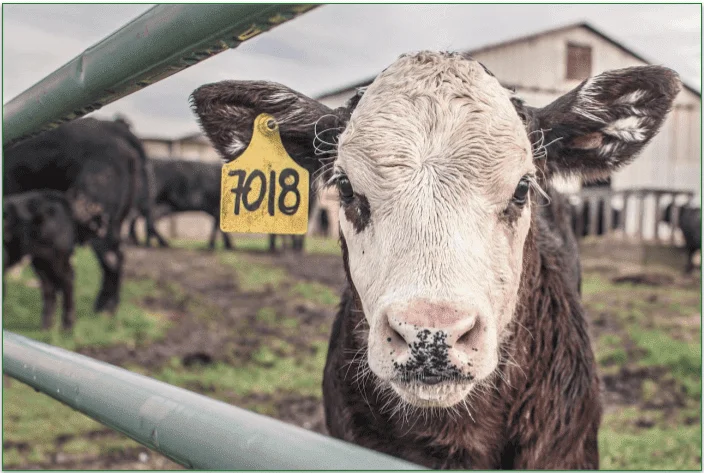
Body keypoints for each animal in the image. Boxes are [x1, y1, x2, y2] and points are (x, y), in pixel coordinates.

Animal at [3, 191, 84, 330]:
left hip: (58, 258)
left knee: (67, 282)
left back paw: (67, 327)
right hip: (40, 262)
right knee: (49, 288)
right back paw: (46, 327)